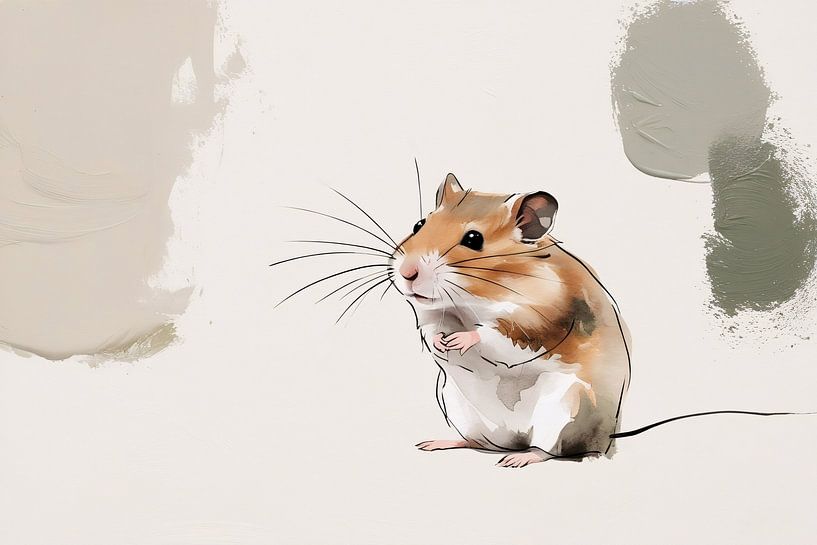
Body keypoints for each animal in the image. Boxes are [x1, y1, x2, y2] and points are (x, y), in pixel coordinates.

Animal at [392, 173, 631, 467]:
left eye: (473, 239)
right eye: (418, 225)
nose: (407, 273)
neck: (468, 302)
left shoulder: (533, 323)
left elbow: (492, 334)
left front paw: (459, 340)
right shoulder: (432, 315)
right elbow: (433, 328)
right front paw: (441, 343)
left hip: (565, 409)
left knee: (547, 450)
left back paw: (516, 460)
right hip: (458, 405)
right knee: (476, 441)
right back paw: (435, 443)